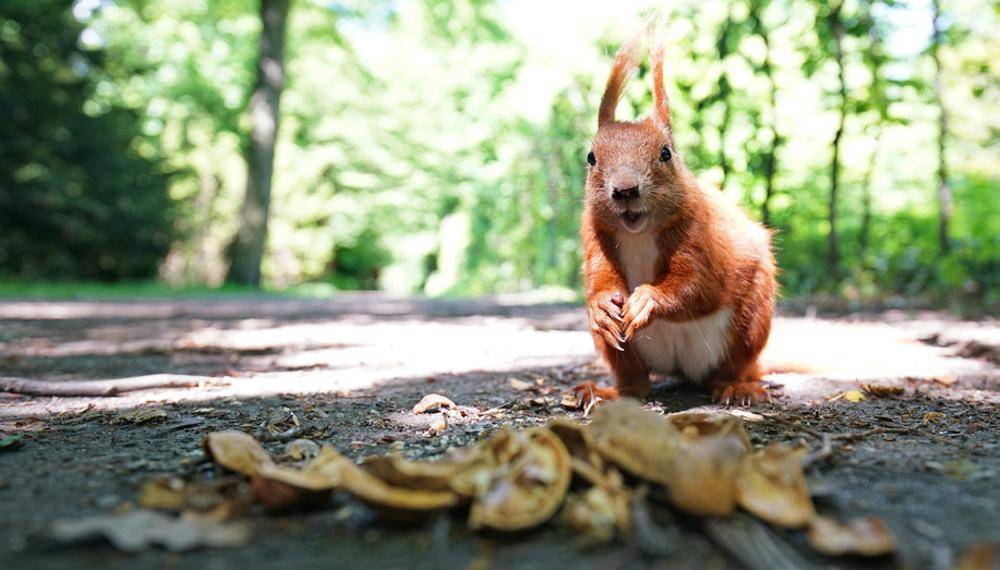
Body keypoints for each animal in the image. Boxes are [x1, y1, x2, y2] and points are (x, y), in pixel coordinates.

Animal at [576, 31, 776, 406]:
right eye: (591, 157)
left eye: (666, 153)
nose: (625, 190)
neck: (639, 233)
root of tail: (680, 368)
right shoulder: (594, 235)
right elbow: (600, 280)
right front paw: (600, 307)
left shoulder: (699, 231)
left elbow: (700, 285)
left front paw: (648, 299)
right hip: (624, 353)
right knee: (635, 383)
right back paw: (606, 392)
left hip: (748, 324)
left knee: (727, 369)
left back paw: (736, 388)